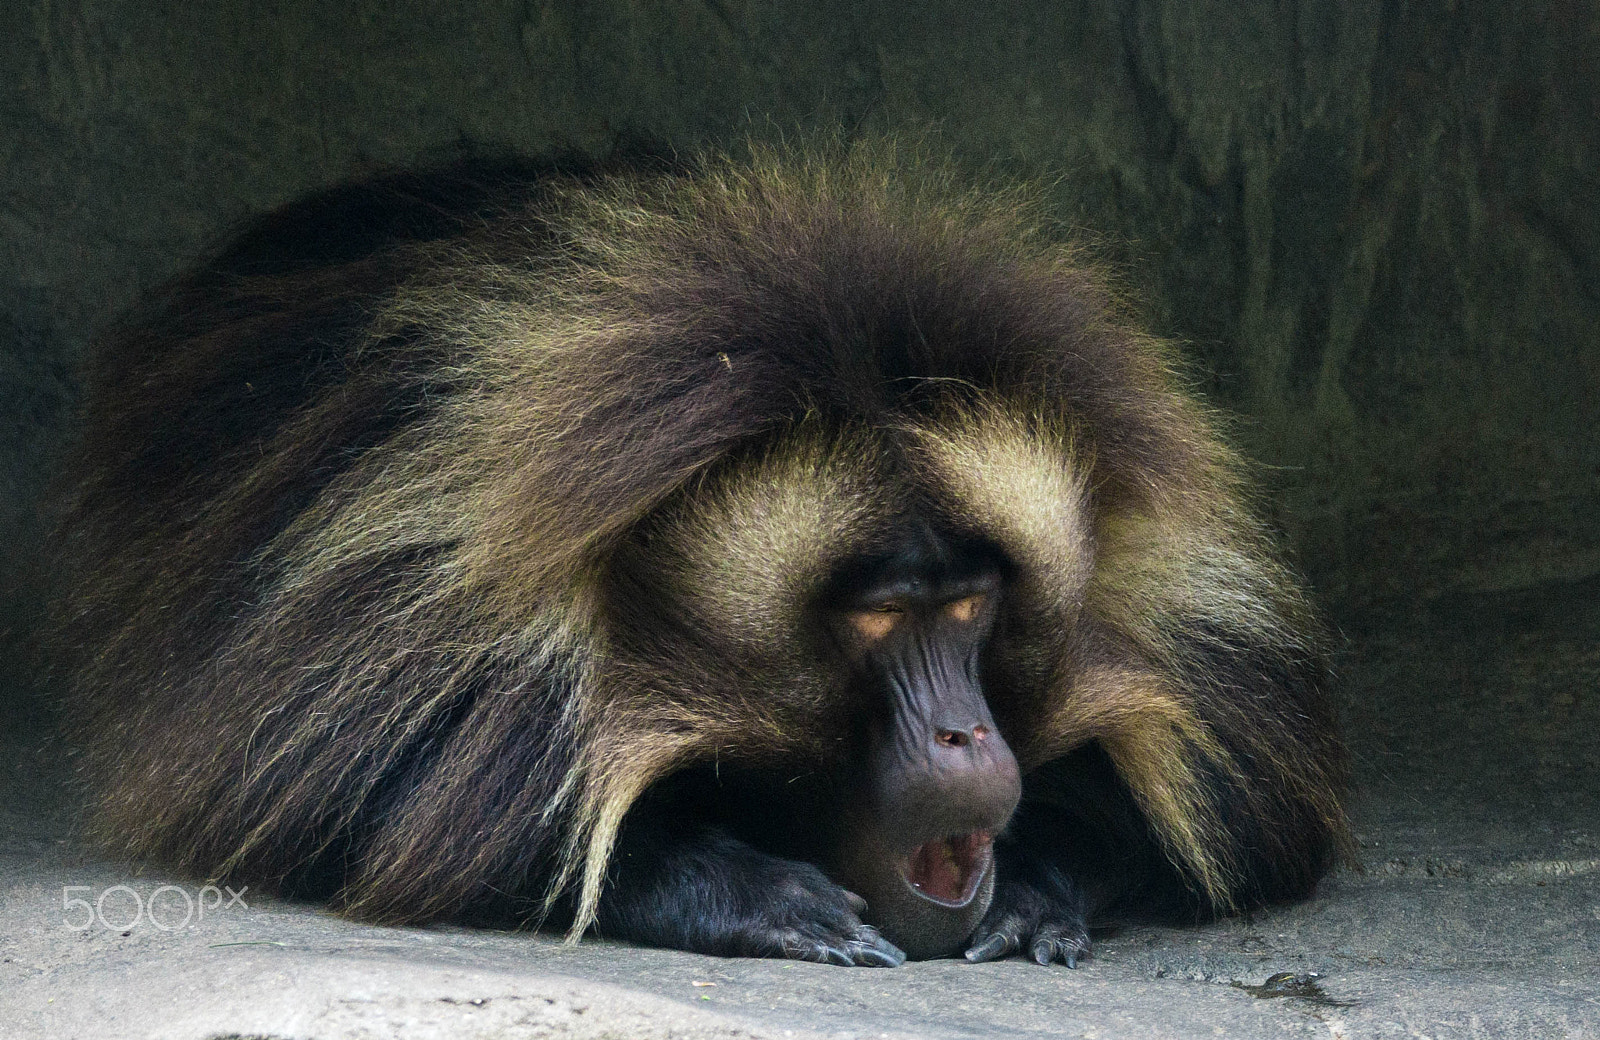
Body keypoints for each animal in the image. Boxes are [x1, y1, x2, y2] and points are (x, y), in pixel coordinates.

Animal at [48, 142, 1351, 967]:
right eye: (880, 617)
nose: (963, 736)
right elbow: (389, 816)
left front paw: (1032, 887)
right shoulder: (435, 640)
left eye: (971, 603)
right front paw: (750, 892)